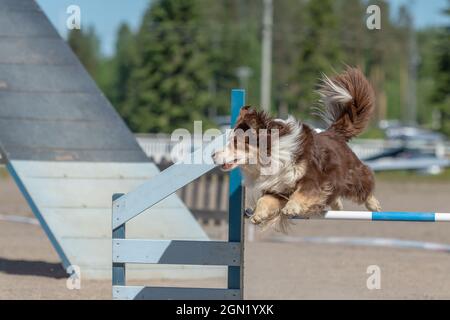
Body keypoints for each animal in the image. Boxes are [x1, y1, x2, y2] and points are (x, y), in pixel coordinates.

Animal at [213, 67, 382, 230]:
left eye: (236, 142)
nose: (212, 155)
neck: (271, 154)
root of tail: (333, 132)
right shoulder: (278, 187)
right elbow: (264, 199)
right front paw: (258, 215)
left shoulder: (313, 177)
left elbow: (302, 192)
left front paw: (291, 208)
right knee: (333, 192)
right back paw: (337, 204)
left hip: (351, 174)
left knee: (364, 184)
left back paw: (375, 206)